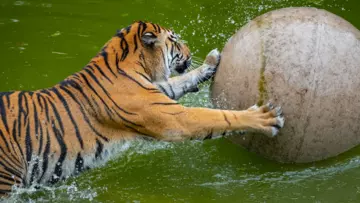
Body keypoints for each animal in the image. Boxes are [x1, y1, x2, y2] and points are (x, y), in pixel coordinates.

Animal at [0, 21, 286, 196]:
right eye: (175, 41)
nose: (190, 50)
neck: (133, 65)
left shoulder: (157, 93)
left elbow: (179, 81)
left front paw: (211, 62)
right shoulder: (173, 119)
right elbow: (218, 117)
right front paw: (264, 118)